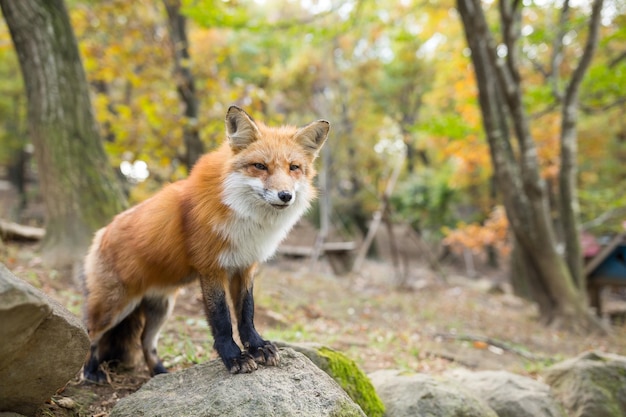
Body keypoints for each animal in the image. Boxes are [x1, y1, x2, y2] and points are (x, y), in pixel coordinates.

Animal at [81, 105, 332, 380]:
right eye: (260, 166)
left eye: (294, 167)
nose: (285, 195)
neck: (243, 217)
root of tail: (101, 232)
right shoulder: (212, 268)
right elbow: (221, 318)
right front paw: (234, 357)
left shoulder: (245, 266)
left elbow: (246, 313)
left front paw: (258, 347)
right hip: (114, 306)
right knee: (90, 333)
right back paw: (90, 372)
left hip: (161, 308)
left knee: (146, 342)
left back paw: (160, 373)